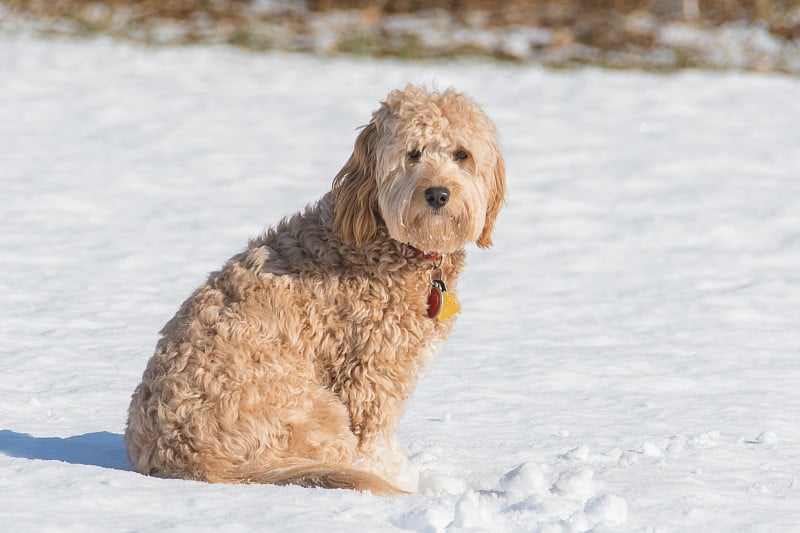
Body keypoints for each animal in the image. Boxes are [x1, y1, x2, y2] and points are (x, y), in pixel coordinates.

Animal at [125, 84, 504, 494]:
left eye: (461, 154)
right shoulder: (370, 371)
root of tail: (185, 460)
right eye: (413, 153)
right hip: (316, 412)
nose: (437, 193)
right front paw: (401, 479)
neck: (385, 241)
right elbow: (376, 440)